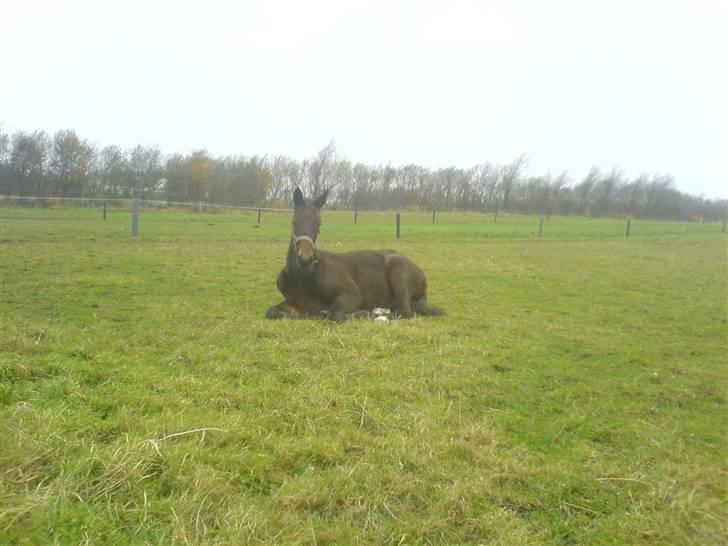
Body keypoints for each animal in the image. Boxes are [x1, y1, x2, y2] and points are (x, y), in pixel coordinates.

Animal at [266, 187, 444, 320]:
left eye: (319, 225)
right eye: (294, 222)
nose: (305, 259)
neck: (302, 277)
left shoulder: (351, 295)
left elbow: (334, 314)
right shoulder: (292, 301)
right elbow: (272, 312)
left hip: (398, 270)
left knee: (406, 311)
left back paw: (378, 314)